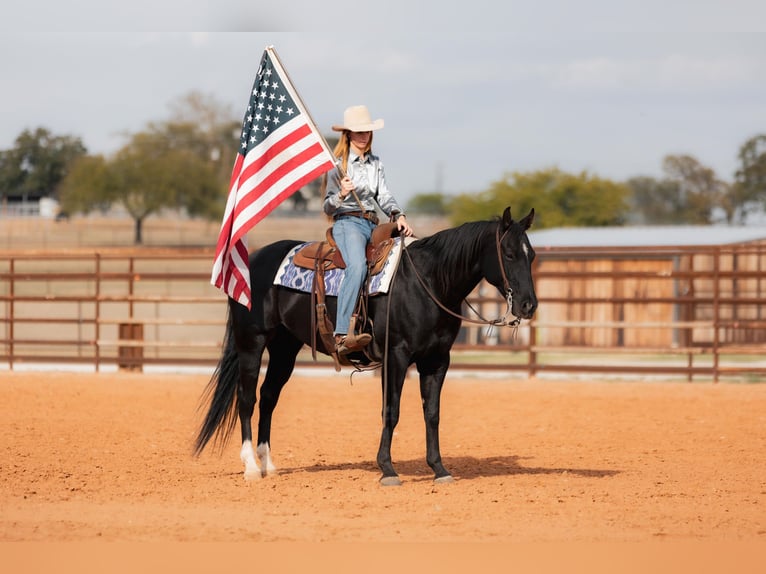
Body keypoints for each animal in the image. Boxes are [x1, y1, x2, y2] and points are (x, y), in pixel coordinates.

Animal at [195, 207, 536, 486]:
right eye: (508, 254)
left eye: (530, 255)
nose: (528, 305)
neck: (427, 282)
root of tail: (250, 262)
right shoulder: (396, 356)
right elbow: (391, 411)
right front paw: (387, 469)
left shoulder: (437, 360)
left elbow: (432, 413)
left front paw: (439, 469)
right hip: (251, 342)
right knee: (247, 399)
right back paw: (252, 467)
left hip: (285, 347)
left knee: (268, 397)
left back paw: (268, 464)